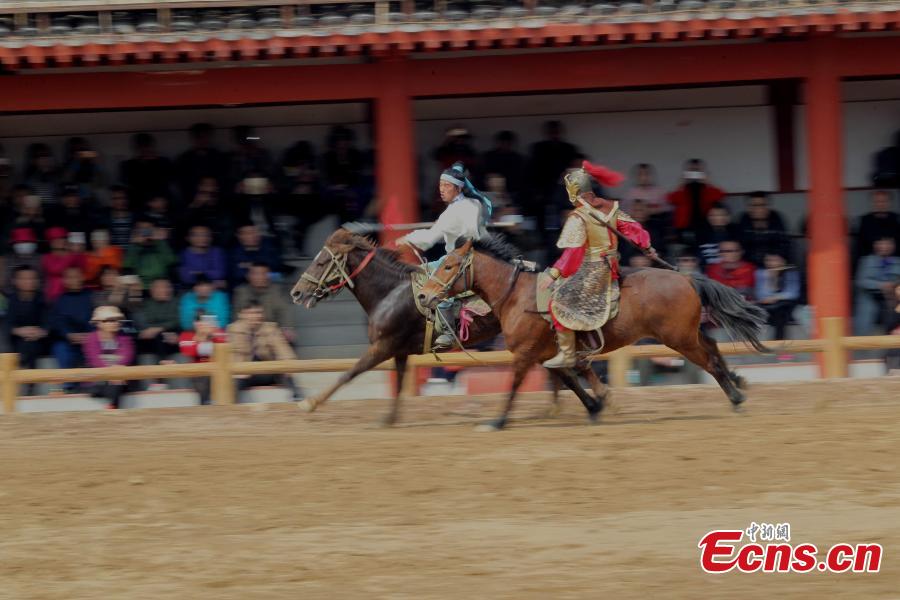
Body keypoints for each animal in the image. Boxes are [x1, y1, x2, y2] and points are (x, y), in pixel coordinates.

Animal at [292, 227, 608, 424]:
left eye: (321, 262)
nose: (296, 293)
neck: (390, 292)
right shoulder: (399, 351)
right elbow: (398, 382)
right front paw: (390, 419)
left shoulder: (382, 346)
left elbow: (349, 373)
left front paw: (310, 403)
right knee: (565, 369)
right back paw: (575, 405)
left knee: (570, 367)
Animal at [418, 236, 768, 432]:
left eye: (448, 266)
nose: (424, 296)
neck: (519, 296)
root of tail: (687, 277)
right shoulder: (549, 355)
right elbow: (572, 381)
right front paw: (596, 406)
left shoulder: (525, 355)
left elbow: (515, 387)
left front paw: (498, 421)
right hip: (686, 333)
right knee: (712, 347)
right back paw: (738, 382)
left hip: (679, 338)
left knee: (709, 360)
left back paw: (736, 397)